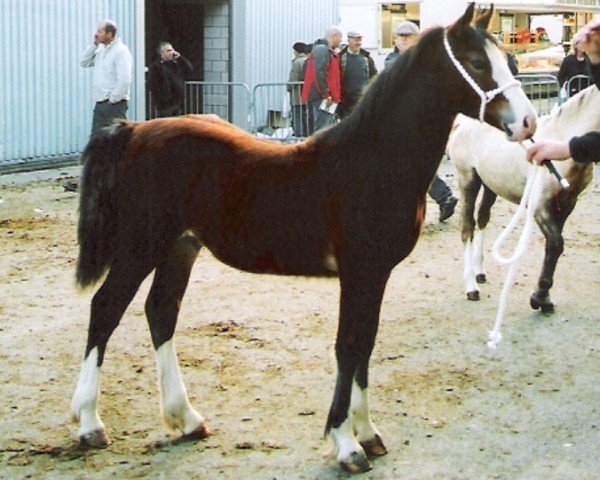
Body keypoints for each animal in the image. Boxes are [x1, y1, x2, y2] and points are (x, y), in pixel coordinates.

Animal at [70, 5, 536, 474]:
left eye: (504, 59)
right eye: (477, 63)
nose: (527, 122)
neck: (373, 161)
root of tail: (133, 129)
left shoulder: (377, 275)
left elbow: (366, 344)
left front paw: (368, 433)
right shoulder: (359, 271)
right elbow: (348, 346)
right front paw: (346, 443)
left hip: (179, 247)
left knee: (161, 312)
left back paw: (187, 419)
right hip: (139, 247)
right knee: (105, 310)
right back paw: (90, 423)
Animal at [450, 85, 600, 312]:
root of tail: (462, 122)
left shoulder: (567, 204)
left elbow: (554, 246)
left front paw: (543, 297)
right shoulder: (539, 206)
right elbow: (556, 243)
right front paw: (539, 297)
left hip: (490, 184)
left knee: (483, 217)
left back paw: (479, 272)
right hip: (468, 179)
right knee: (467, 225)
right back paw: (471, 287)